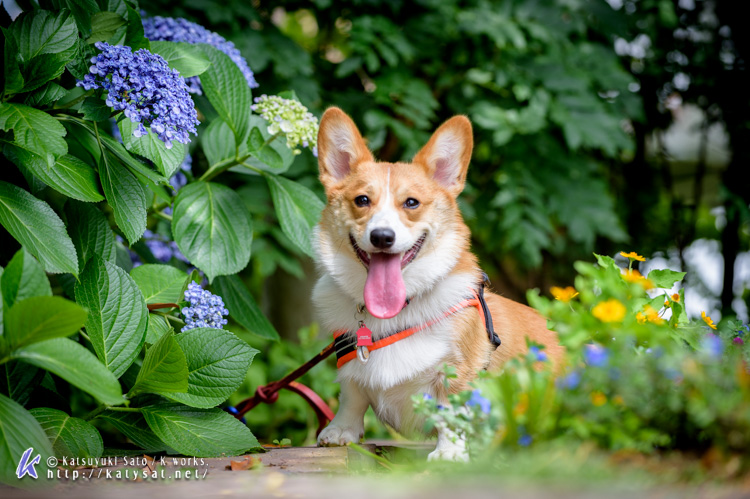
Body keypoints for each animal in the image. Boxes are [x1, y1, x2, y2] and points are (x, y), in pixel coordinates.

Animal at [312, 107, 564, 462]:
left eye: (411, 203)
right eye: (361, 200)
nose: (382, 237)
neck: (398, 309)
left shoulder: (458, 370)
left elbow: (451, 409)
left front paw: (449, 452)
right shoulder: (350, 361)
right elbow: (352, 394)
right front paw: (340, 431)